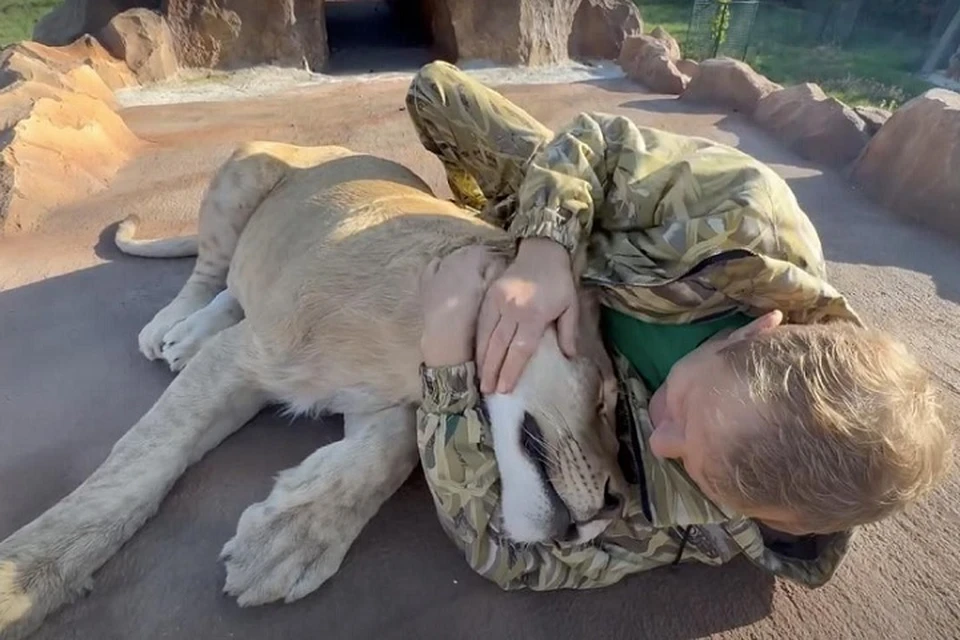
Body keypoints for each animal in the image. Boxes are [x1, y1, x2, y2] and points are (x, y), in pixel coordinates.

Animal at [0, 142, 624, 636]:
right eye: (603, 395)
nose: (615, 505)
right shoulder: (243, 358)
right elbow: (132, 469)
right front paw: (23, 580)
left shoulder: (382, 400)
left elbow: (387, 455)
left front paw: (289, 540)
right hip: (241, 175)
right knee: (211, 272)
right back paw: (174, 328)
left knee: (233, 287)